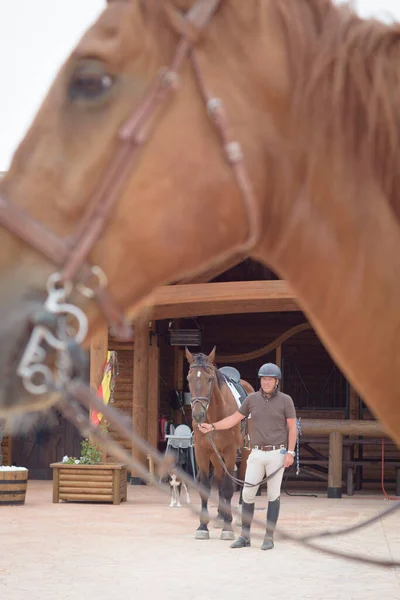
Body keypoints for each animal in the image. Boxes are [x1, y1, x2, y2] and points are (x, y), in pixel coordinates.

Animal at [185, 346, 253, 540]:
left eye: (209, 379)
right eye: (189, 379)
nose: (198, 415)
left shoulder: (230, 452)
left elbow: (229, 488)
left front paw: (228, 528)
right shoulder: (202, 452)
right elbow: (207, 487)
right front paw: (203, 526)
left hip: (245, 453)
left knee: (242, 480)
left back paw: (238, 517)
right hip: (216, 456)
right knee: (220, 480)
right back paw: (220, 517)